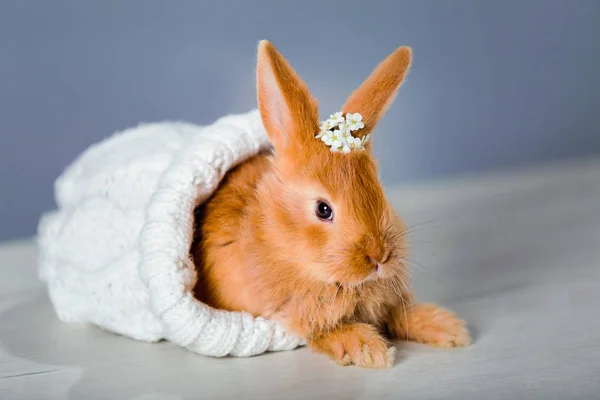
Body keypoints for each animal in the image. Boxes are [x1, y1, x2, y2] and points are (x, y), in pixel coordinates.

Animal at [191, 40, 468, 368]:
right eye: (323, 209)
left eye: (379, 189)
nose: (379, 256)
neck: (278, 238)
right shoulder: (292, 316)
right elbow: (327, 332)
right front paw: (371, 349)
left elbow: (400, 314)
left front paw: (449, 328)